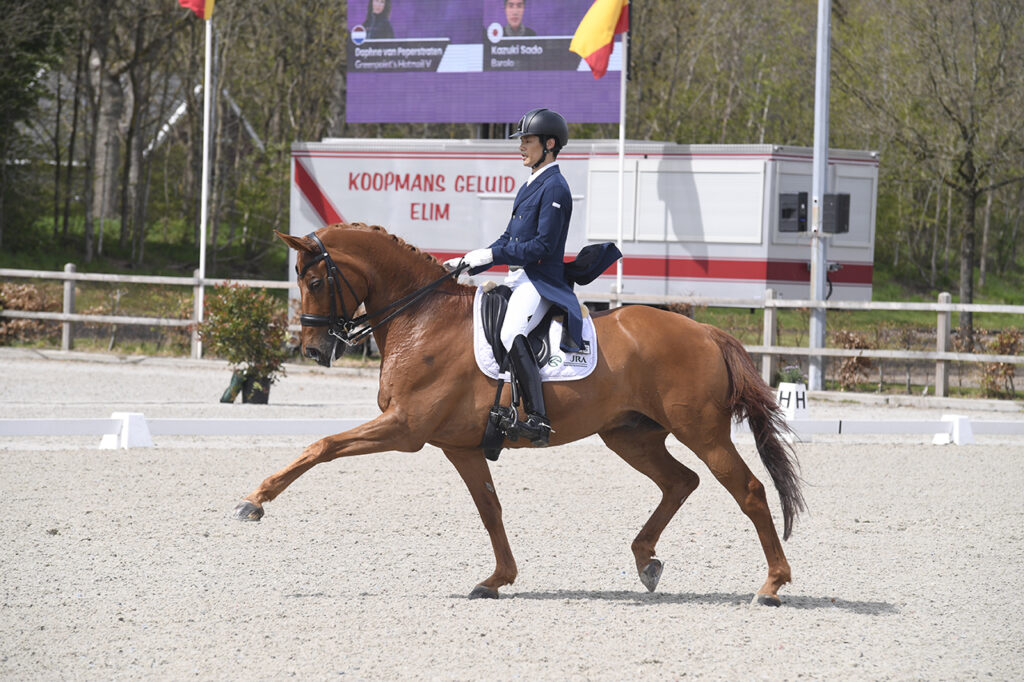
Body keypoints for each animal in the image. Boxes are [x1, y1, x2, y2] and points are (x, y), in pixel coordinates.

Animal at [235, 223, 802, 606]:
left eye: (314, 281)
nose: (313, 351)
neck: (421, 317)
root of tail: (706, 330)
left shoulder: (405, 428)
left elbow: (322, 446)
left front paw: (254, 501)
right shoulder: (458, 445)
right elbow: (491, 510)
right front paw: (496, 580)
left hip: (701, 432)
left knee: (749, 491)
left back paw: (771, 585)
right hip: (630, 436)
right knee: (680, 482)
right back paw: (647, 561)